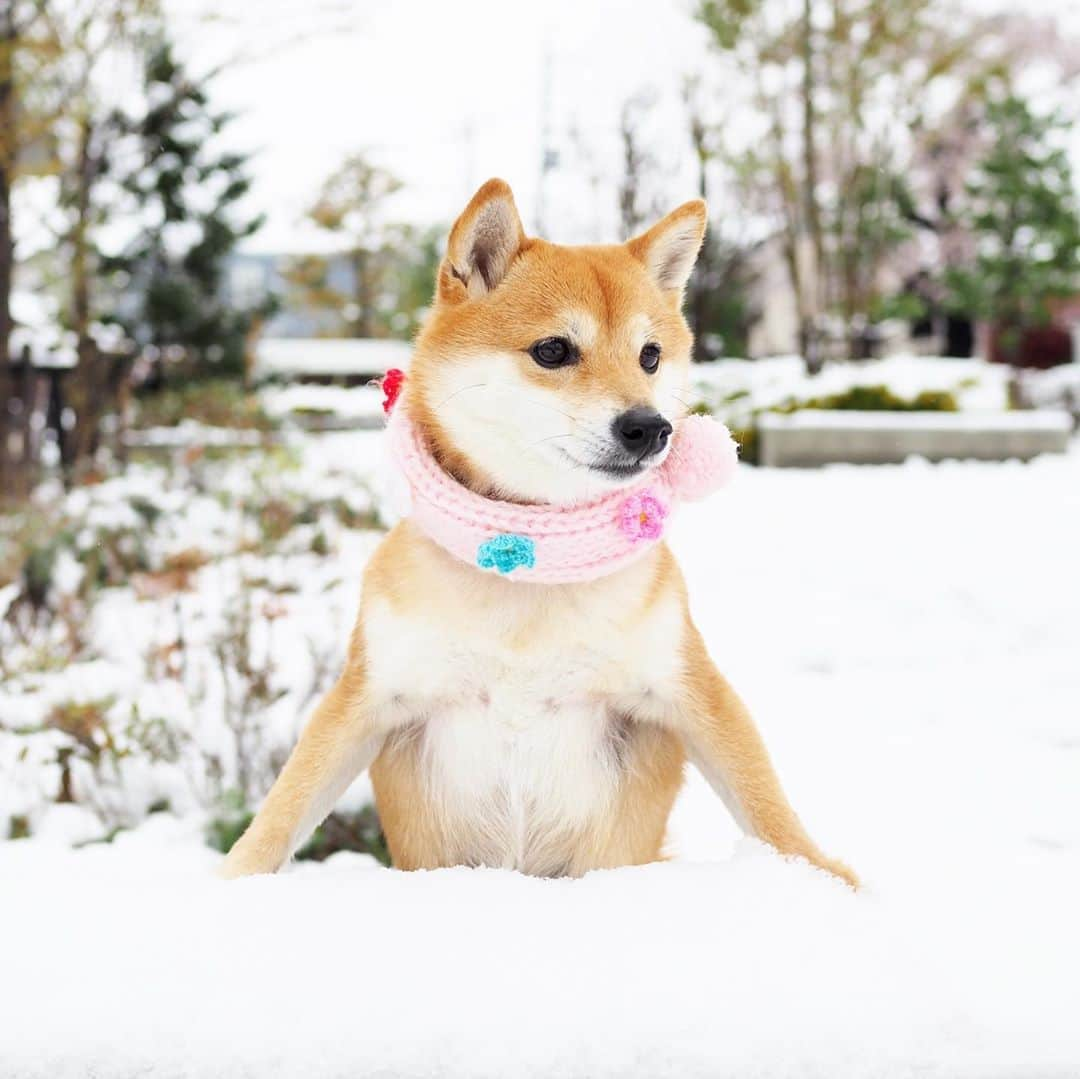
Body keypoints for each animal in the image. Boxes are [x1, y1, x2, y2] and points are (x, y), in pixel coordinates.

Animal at [219, 174, 855, 885]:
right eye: (554, 350)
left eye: (651, 356)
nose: (649, 427)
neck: (530, 559)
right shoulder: (368, 694)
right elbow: (285, 807)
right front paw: (230, 877)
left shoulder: (690, 684)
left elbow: (765, 801)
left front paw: (826, 877)